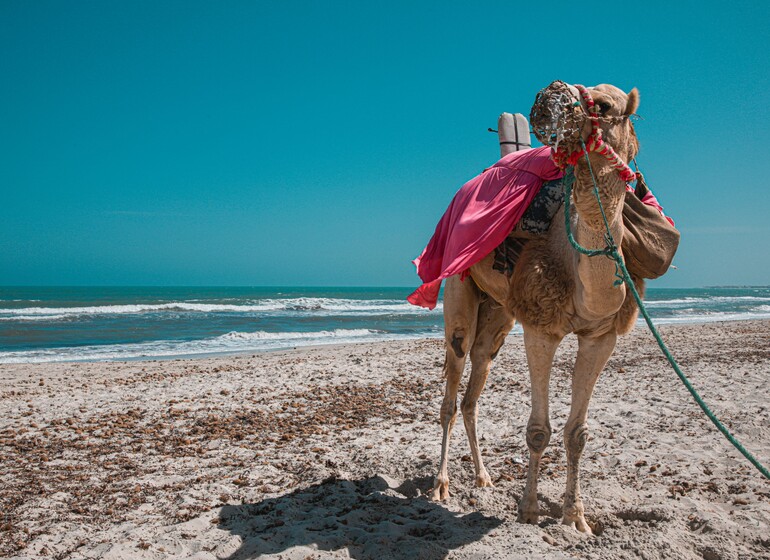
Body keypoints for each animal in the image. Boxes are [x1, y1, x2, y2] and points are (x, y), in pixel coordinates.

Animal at [430, 82, 643, 534]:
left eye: (605, 105)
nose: (550, 98)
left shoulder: (601, 335)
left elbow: (577, 433)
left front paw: (576, 517)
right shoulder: (542, 327)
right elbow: (539, 430)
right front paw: (528, 510)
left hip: (498, 315)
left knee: (476, 384)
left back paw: (483, 476)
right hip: (458, 289)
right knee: (453, 389)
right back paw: (441, 484)